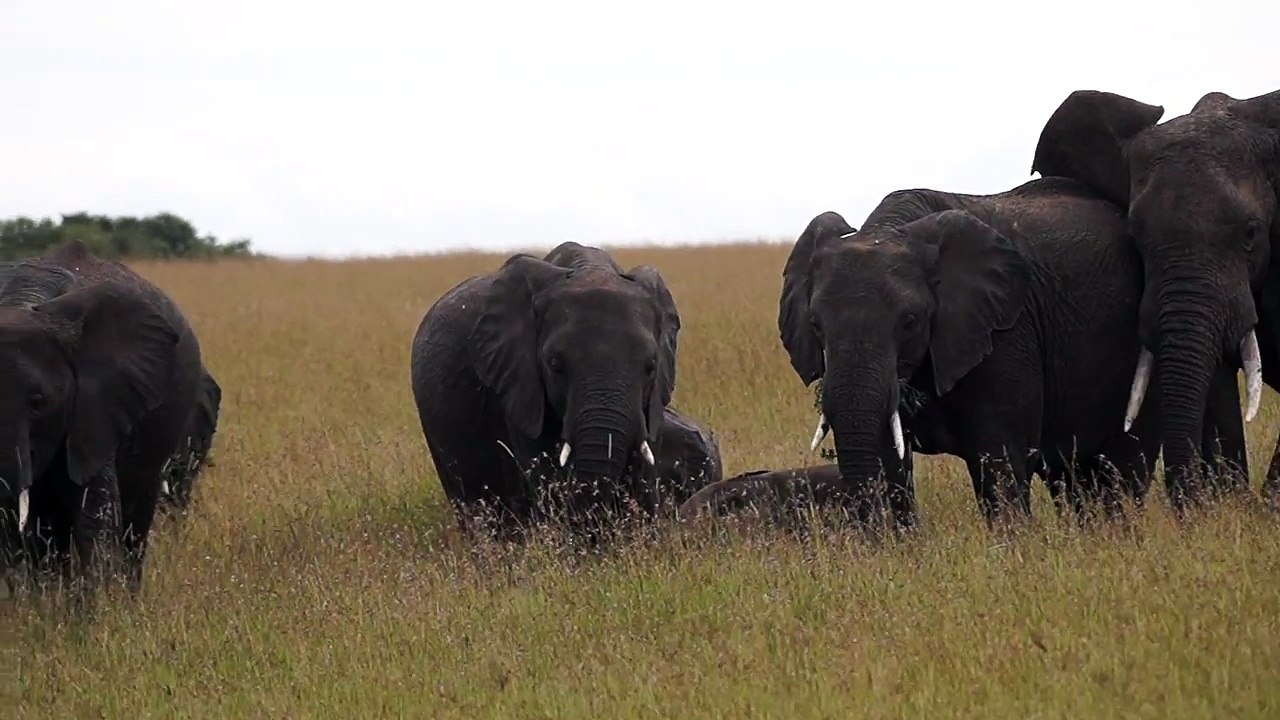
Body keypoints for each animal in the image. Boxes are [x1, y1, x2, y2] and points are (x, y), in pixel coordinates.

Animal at [778, 178, 1169, 528]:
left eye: (910, 321)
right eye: (815, 324)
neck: (892, 229)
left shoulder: (1006, 331)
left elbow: (998, 457)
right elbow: (888, 457)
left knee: (1123, 468)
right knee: (1071, 475)